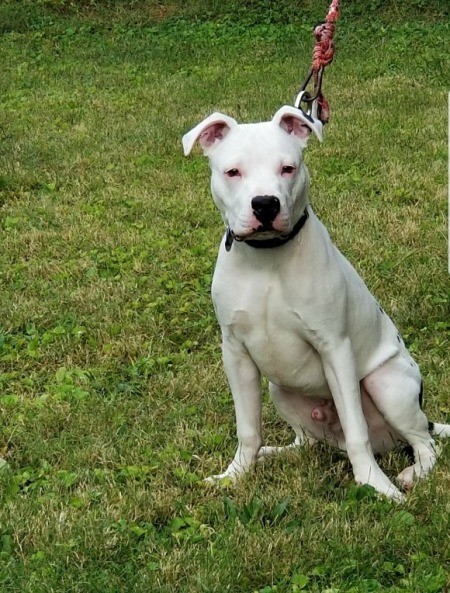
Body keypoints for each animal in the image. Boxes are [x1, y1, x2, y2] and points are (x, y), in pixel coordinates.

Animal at [183, 104, 450, 498]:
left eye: (287, 168)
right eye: (233, 172)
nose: (265, 204)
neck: (266, 259)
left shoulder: (335, 349)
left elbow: (357, 433)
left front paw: (375, 485)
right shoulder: (235, 352)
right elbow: (248, 428)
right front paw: (237, 474)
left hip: (386, 385)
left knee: (424, 442)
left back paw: (411, 474)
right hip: (281, 390)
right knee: (307, 442)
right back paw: (273, 454)